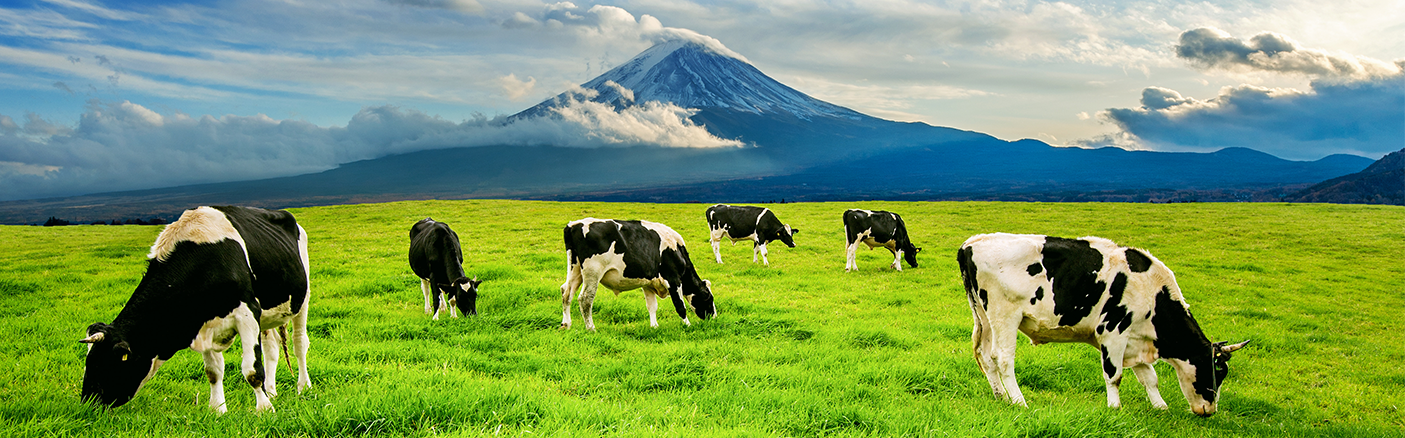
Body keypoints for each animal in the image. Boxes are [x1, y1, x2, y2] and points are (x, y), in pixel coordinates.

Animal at [79, 206, 310, 412]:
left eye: (104, 364)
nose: (87, 404)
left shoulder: (247, 312)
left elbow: (252, 370)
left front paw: (264, 409)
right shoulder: (202, 322)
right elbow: (213, 371)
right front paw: (217, 409)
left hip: (303, 299)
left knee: (299, 343)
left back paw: (303, 387)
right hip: (268, 315)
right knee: (272, 347)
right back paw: (271, 391)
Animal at [556, 217, 713, 329]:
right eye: (708, 297)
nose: (713, 316)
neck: (677, 250)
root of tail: (573, 225)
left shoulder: (648, 283)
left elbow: (652, 306)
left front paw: (654, 326)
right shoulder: (673, 279)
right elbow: (680, 305)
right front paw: (687, 325)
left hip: (575, 268)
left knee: (566, 292)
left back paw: (566, 325)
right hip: (593, 271)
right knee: (585, 298)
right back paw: (591, 328)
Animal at [961, 231, 1247, 415]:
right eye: (1218, 371)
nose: (1210, 410)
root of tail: (971, 244)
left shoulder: (1135, 339)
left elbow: (1150, 377)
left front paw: (1160, 406)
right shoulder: (1113, 333)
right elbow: (1115, 375)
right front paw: (1114, 407)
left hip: (983, 317)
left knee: (984, 356)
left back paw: (1001, 396)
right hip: (1004, 315)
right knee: (1002, 358)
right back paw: (1019, 401)